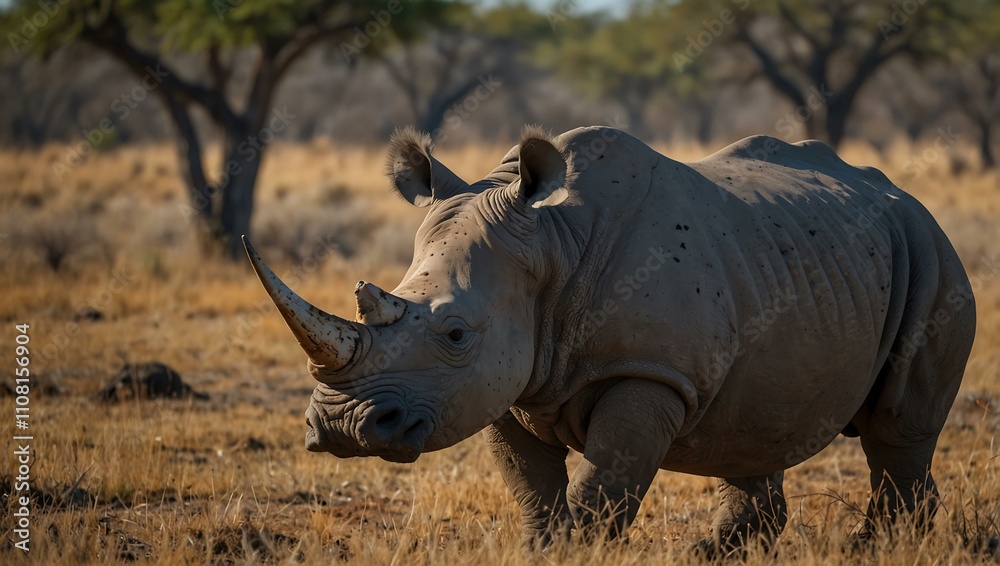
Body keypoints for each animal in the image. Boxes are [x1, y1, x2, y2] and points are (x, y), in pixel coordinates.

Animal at [243, 126, 976, 553]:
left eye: (454, 333)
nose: (343, 426)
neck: (551, 244)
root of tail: (906, 197)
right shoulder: (499, 383)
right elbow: (532, 488)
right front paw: (542, 551)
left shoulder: (647, 371)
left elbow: (604, 487)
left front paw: (583, 552)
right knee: (753, 422)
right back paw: (720, 554)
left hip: (931, 256)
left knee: (898, 426)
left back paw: (880, 548)